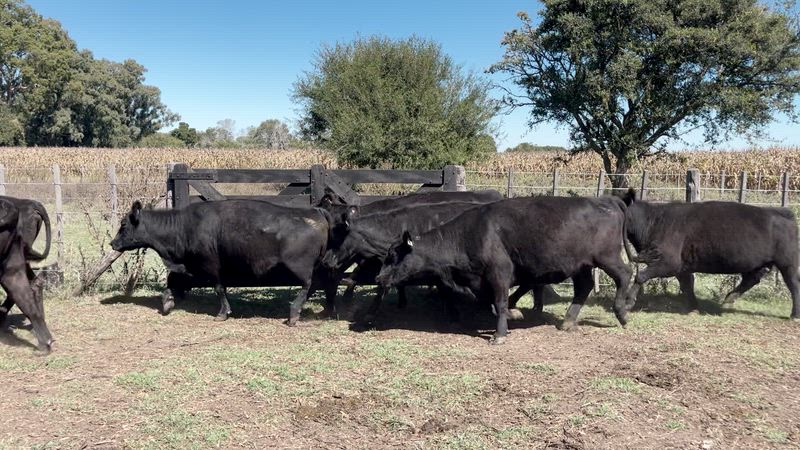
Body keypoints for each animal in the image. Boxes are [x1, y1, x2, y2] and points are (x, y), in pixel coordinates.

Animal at [110, 200, 335, 325]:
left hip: (300, 267)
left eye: (123, 224)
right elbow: (173, 283)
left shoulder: (211, 266)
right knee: (321, 283)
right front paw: (167, 302)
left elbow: (219, 288)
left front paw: (222, 313)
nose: (113, 243)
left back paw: (294, 312)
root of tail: (314, 211)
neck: (183, 227)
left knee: (308, 285)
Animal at [375, 196, 635, 344]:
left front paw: (500, 333)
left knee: (624, 274)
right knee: (584, 287)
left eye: (393, 257)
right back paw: (568, 321)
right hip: (581, 265)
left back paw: (622, 313)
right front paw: (513, 313)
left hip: (607, 257)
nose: (379, 278)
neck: (472, 234)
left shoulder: (499, 273)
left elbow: (499, 303)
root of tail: (607, 200)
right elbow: (492, 303)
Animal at [620, 189, 800, 321]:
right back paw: (729, 299)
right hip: (754, 262)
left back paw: (794, 315)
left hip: (788, 263)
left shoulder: (669, 262)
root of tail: (784, 213)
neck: (654, 222)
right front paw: (693, 308)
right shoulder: (682, 267)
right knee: (752, 279)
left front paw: (628, 302)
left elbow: (641, 276)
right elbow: (687, 285)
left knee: (793, 284)